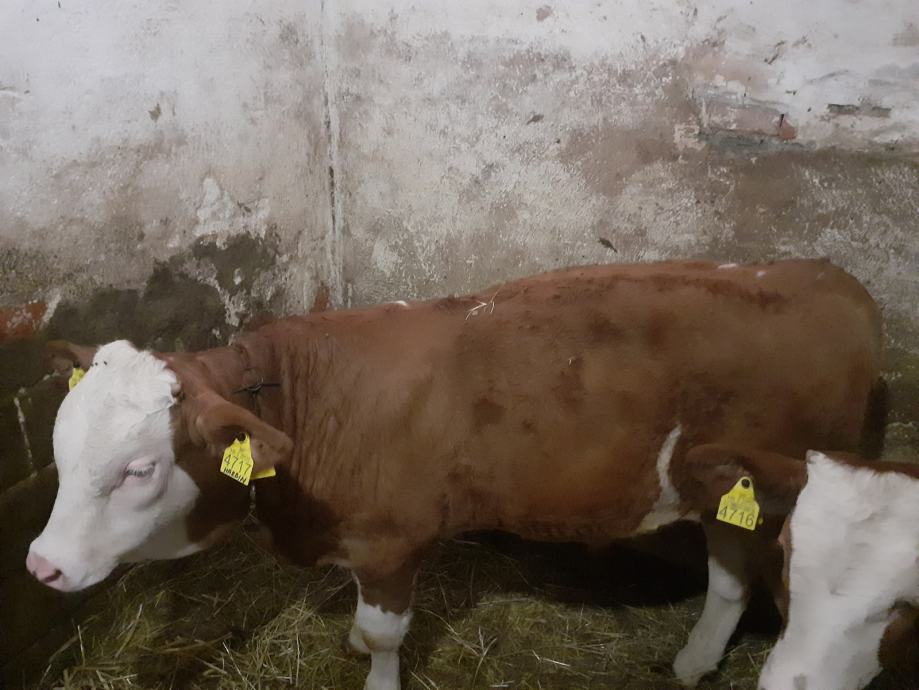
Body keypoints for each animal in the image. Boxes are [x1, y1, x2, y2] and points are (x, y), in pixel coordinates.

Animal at [26, 259, 882, 690]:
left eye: (139, 468)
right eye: (62, 450)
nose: (42, 565)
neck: (305, 398)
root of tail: (822, 272)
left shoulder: (389, 540)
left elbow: (381, 635)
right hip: (718, 483)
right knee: (729, 575)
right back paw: (693, 662)